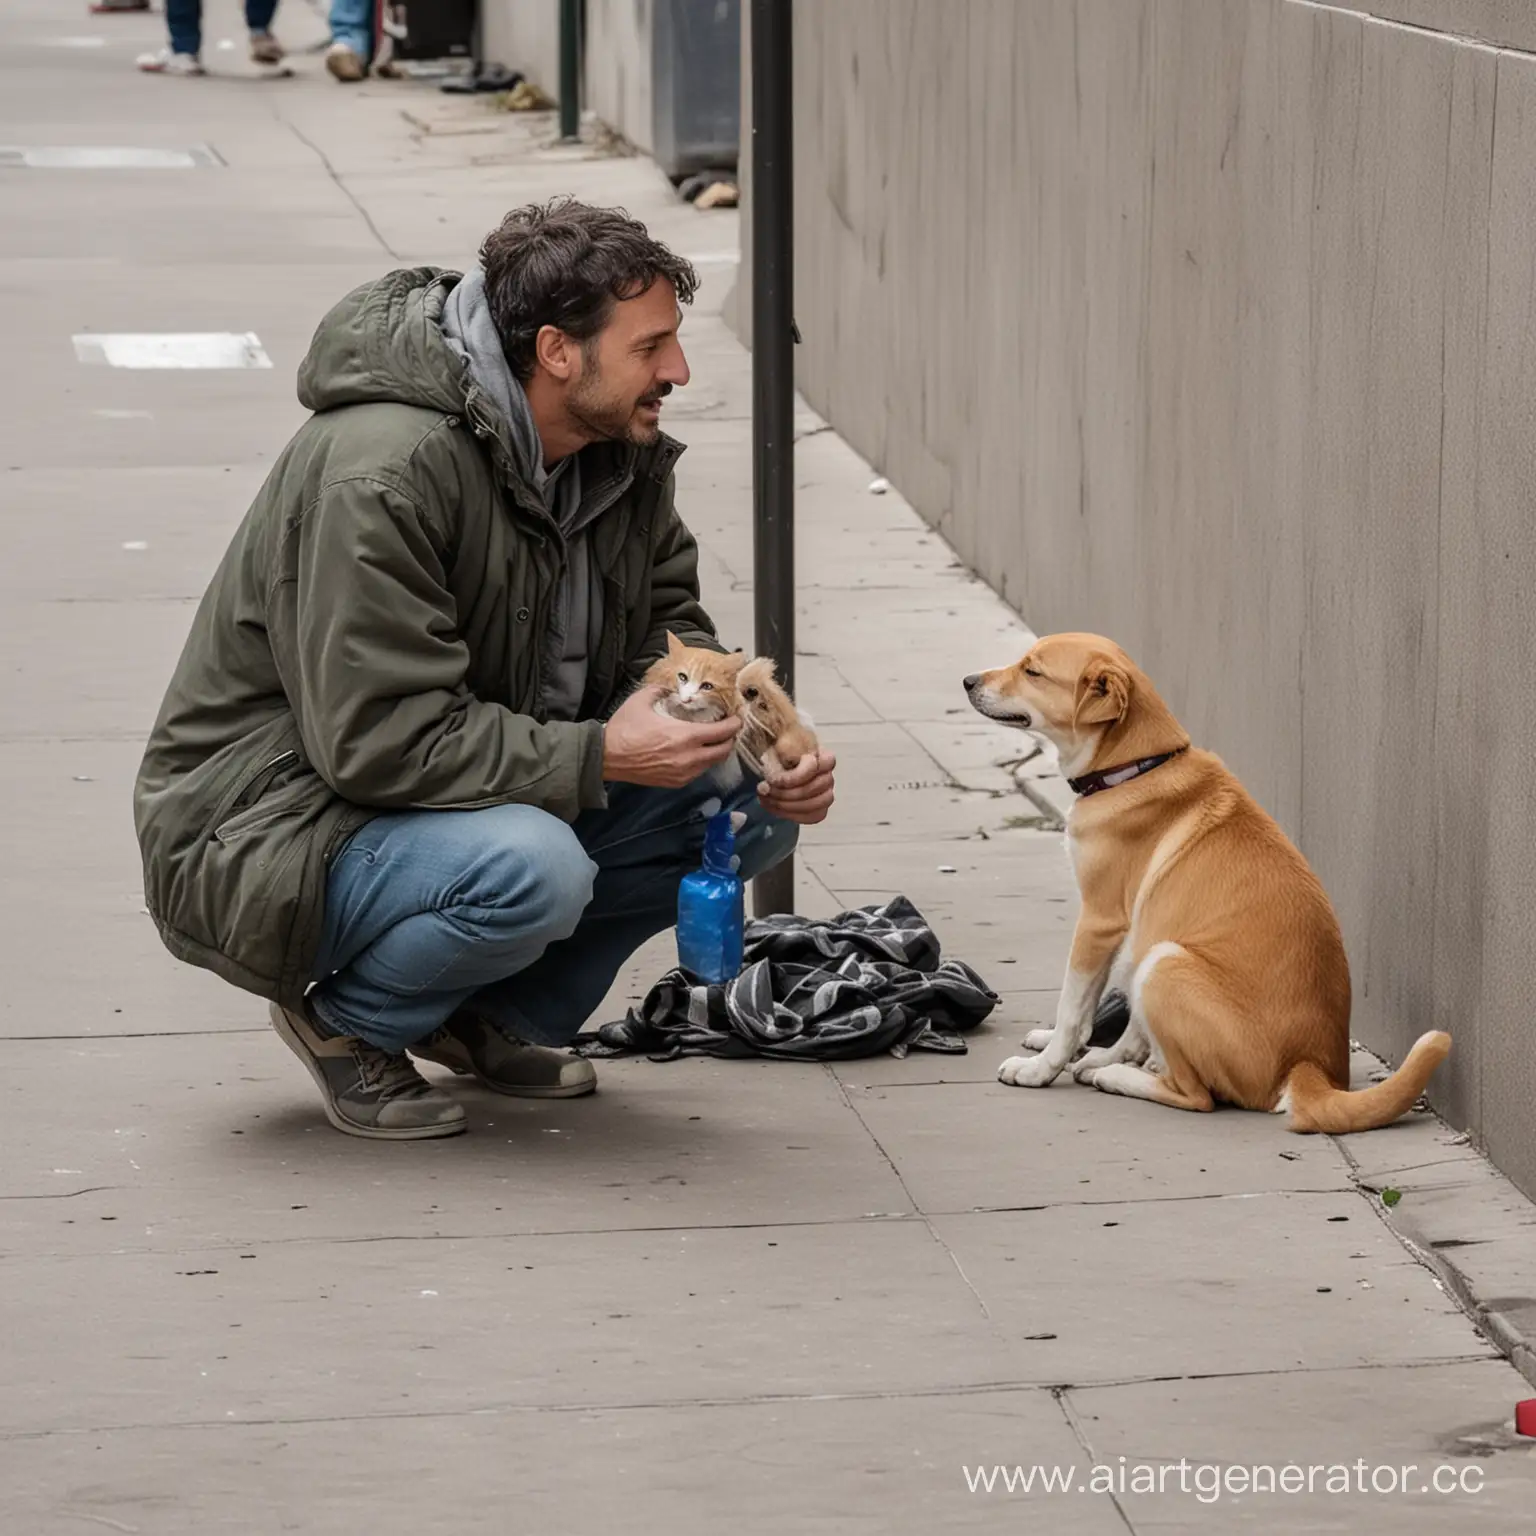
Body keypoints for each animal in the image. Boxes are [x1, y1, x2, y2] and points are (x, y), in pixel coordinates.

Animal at [964, 629, 1443, 1136]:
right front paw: (1065, 1046)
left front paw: (1041, 1069)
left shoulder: (1098, 920)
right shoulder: (1124, 930)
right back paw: (1112, 1061)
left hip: (1166, 961)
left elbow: (1073, 1005)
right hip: (1153, 944)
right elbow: (1093, 1009)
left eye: (1032, 671)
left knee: (1196, 1096)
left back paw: (1113, 1075)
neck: (1134, 765)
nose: (967, 681)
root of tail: (1309, 1068)